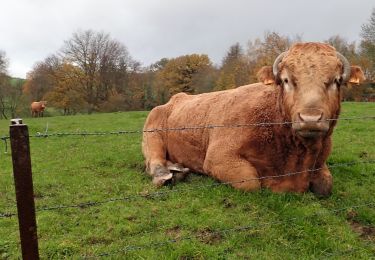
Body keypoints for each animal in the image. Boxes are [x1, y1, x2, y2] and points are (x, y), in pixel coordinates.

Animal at [142, 42, 366, 197]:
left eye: (337, 81)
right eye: (286, 80)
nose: (310, 118)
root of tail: (176, 98)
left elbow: (325, 185)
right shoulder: (218, 158)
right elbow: (251, 183)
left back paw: (178, 169)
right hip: (152, 134)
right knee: (154, 160)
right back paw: (167, 174)